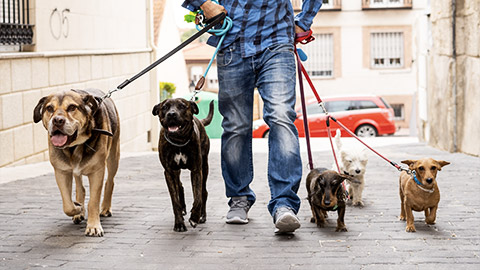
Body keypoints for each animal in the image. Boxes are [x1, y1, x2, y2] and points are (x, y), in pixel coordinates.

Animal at [33, 89, 119, 236]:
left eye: (72, 107)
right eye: (49, 108)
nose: (57, 121)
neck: (74, 146)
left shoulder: (97, 171)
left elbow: (93, 202)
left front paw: (93, 226)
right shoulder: (61, 172)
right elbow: (67, 205)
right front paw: (78, 208)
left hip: (114, 156)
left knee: (110, 181)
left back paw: (106, 208)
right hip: (76, 170)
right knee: (80, 187)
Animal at [152, 98, 214, 231]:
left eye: (182, 106)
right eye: (164, 107)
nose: (171, 114)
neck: (178, 141)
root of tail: (200, 121)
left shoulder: (196, 170)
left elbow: (197, 197)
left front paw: (194, 217)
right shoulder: (169, 172)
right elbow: (175, 200)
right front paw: (179, 223)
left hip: (204, 166)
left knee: (204, 192)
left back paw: (202, 215)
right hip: (177, 171)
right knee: (179, 186)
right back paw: (183, 209)